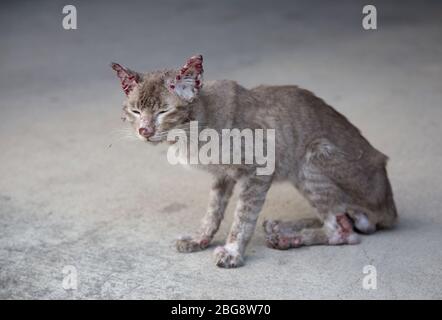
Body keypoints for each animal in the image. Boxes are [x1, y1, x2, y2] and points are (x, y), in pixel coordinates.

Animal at [109, 54, 398, 268]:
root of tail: (390, 208)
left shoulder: (258, 169)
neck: (192, 130)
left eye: (163, 111)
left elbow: (243, 215)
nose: (144, 131)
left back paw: (289, 238)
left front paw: (232, 251)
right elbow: (213, 210)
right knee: (342, 219)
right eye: (135, 111)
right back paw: (281, 226)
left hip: (311, 158)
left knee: (343, 232)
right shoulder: (222, 175)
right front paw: (200, 238)